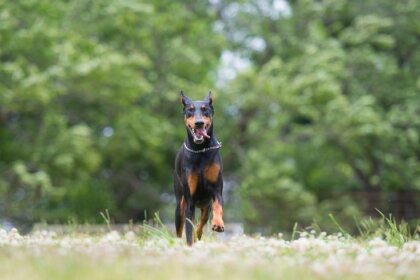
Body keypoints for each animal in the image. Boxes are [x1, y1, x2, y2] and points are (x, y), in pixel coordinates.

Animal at [173, 90, 225, 245]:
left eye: (205, 109)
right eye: (190, 110)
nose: (199, 123)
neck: (200, 150)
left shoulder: (216, 189)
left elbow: (218, 206)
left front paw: (218, 224)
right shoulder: (189, 201)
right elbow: (188, 231)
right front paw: (190, 246)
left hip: (205, 204)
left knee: (202, 222)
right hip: (180, 204)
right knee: (179, 230)